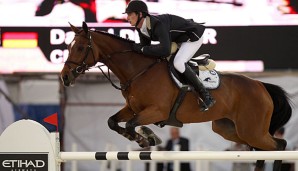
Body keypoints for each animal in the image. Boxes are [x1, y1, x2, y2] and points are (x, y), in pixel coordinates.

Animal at [60, 22, 292, 171]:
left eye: (80, 47)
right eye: (69, 46)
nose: (64, 77)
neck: (139, 70)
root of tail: (260, 85)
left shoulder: (156, 111)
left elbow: (131, 124)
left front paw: (145, 138)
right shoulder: (133, 108)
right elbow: (113, 121)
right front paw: (143, 137)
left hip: (251, 129)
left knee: (279, 146)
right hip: (229, 129)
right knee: (261, 150)